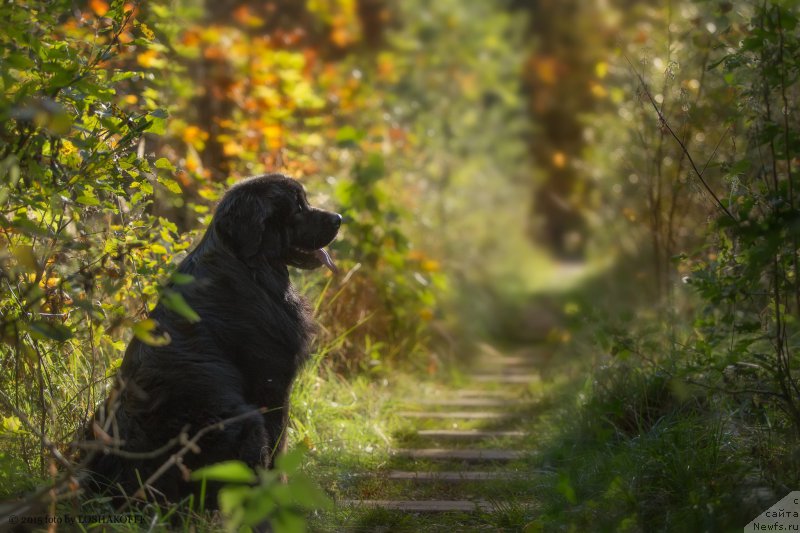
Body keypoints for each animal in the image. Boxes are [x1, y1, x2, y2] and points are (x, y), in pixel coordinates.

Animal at [84, 174, 340, 502]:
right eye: (297, 206)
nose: (339, 218)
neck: (247, 265)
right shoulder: (272, 382)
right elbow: (278, 444)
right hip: (241, 422)